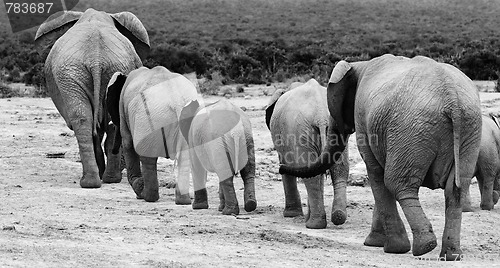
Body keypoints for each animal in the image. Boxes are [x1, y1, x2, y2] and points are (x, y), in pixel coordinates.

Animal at [34, 8, 149, 188]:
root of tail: (96, 58)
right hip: (77, 72)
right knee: (93, 120)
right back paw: (101, 180)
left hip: (78, 72)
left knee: (90, 120)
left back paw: (98, 180)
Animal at [105, 66, 197, 203]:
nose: (113, 150)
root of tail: (177, 101)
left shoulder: (123, 109)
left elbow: (127, 143)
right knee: (184, 156)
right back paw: (183, 202)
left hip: (146, 118)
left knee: (147, 157)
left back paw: (147, 197)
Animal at [266, 79, 348, 228]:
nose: (279, 169)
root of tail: (320, 115)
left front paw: (291, 215)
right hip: (334, 128)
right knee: (338, 169)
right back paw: (337, 217)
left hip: (300, 131)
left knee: (311, 174)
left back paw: (314, 225)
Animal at [280, 54, 482, 260]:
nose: (281, 168)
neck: (360, 65)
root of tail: (452, 99)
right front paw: (376, 243)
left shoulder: (362, 117)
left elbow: (376, 174)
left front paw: (390, 247)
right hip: (469, 129)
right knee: (455, 188)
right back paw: (451, 255)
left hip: (412, 129)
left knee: (397, 183)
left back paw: (424, 247)